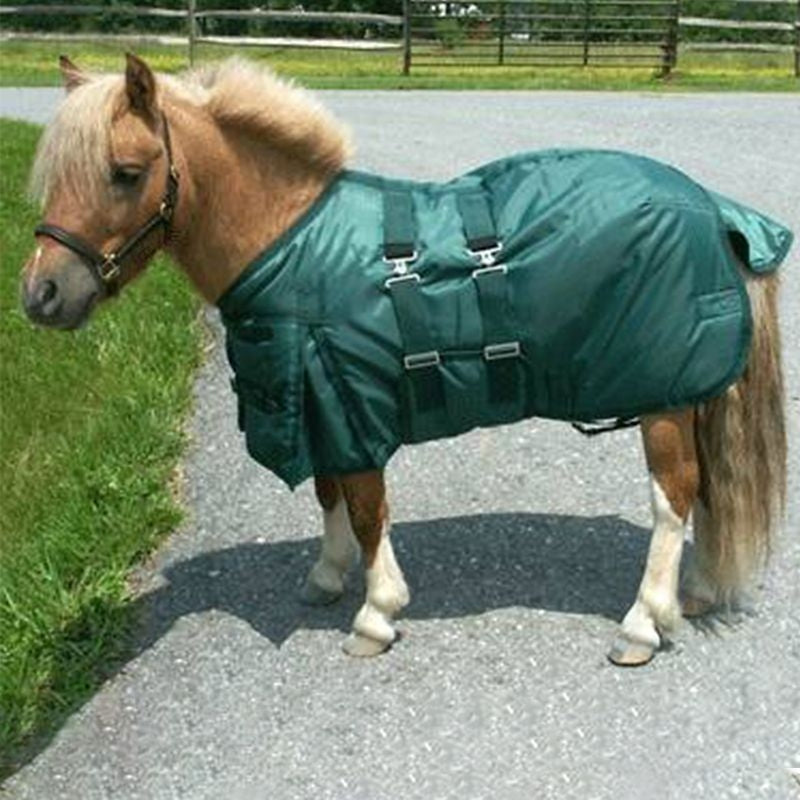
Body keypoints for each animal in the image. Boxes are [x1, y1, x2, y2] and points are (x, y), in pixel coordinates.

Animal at [20, 54, 787, 667]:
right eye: (54, 177)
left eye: (125, 173)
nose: (40, 294)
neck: (293, 245)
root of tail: (712, 206)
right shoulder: (321, 402)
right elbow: (329, 494)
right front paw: (328, 577)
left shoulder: (352, 401)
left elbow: (366, 511)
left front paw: (376, 612)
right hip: (688, 395)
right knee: (705, 490)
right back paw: (692, 594)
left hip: (663, 398)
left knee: (673, 497)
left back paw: (642, 624)